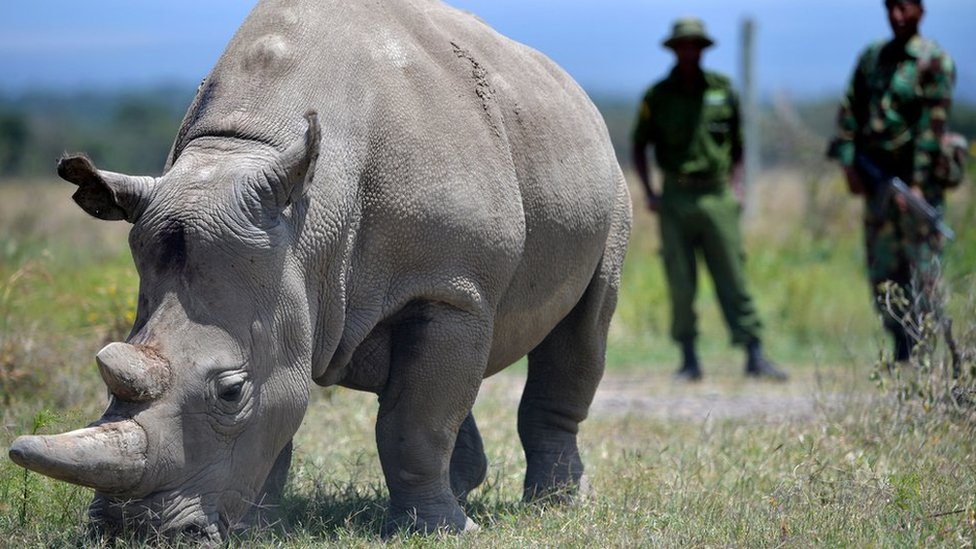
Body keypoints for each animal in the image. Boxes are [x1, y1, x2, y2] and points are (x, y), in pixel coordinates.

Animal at [7, 0, 632, 540]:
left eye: (230, 392)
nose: (132, 532)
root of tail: (572, 88)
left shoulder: (449, 287)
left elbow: (415, 423)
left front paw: (442, 533)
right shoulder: (290, 272)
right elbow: (298, 402)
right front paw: (259, 530)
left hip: (609, 184)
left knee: (583, 329)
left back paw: (556, 504)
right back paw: (466, 486)